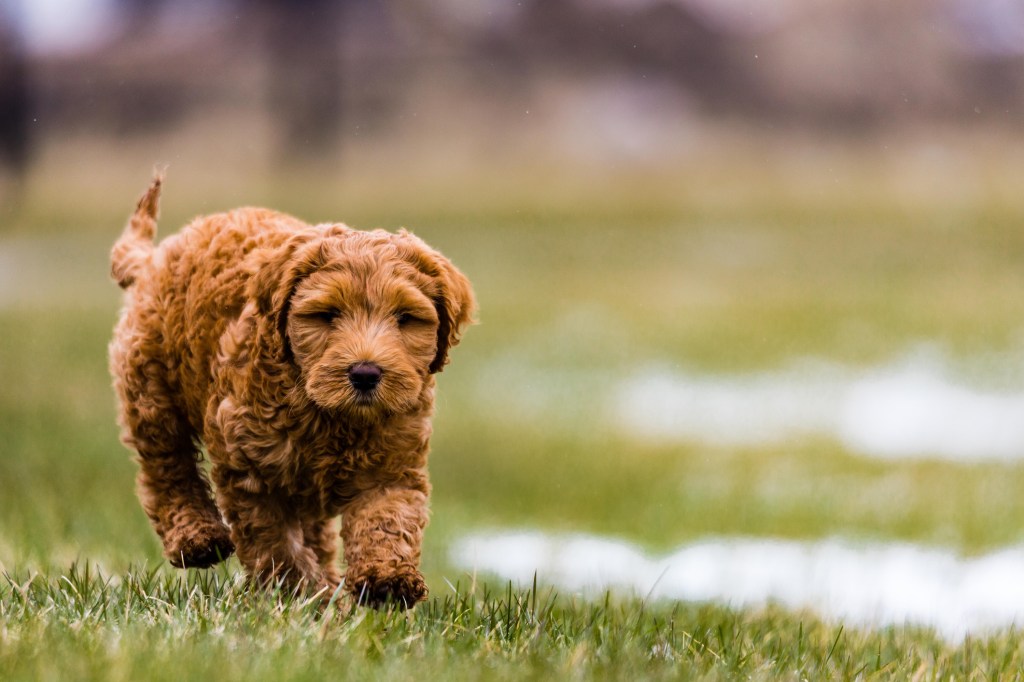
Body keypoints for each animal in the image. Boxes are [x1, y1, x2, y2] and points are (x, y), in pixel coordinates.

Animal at [108, 176, 475, 606]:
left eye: (405, 318)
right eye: (327, 315)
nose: (365, 373)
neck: (330, 413)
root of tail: (152, 260)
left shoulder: (393, 461)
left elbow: (388, 516)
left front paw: (386, 578)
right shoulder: (250, 470)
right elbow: (276, 543)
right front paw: (303, 592)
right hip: (150, 387)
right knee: (167, 467)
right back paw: (197, 538)